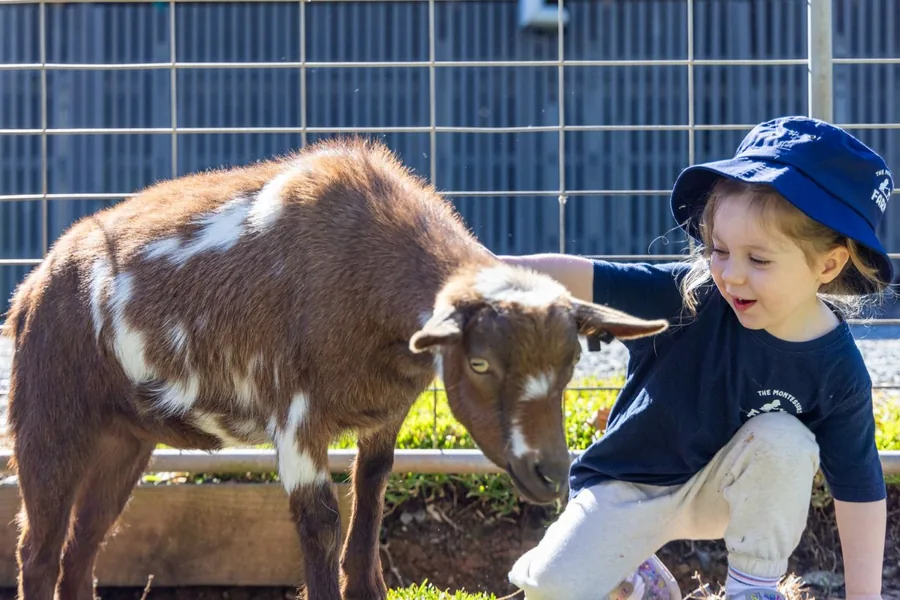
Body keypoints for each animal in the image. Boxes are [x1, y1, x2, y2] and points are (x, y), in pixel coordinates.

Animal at [3, 137, 668, 600]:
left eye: (571, 363)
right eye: (479, 363)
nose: (551, 473)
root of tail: (34, 285)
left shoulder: (386, 413)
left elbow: (371, 495)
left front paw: (368, 587)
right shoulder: (296, 419)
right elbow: (319, 521)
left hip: (124, 439)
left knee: (81, 547)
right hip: (49, 422)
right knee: (38, 551)